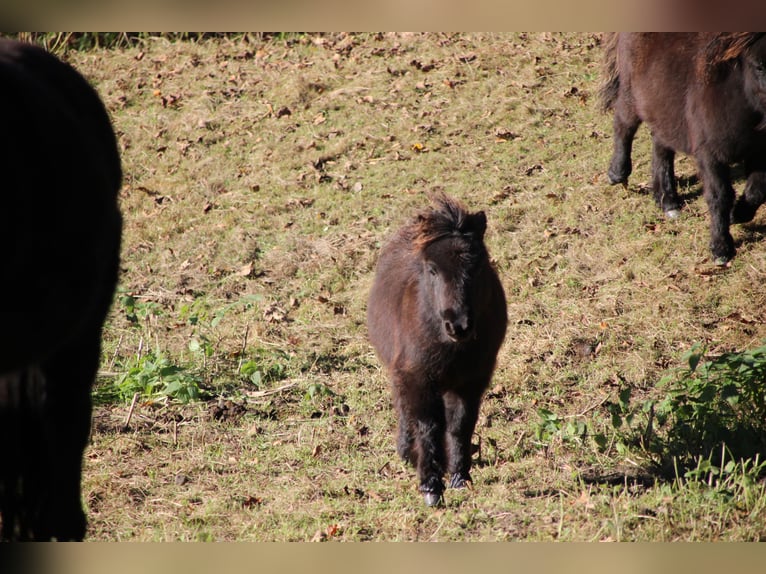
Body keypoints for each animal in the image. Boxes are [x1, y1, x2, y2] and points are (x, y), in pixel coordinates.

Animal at [368, 195, 508, 508]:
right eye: (432, 269)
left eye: (477, 265)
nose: (458, 325)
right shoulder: (417, 377)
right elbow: (427, 426)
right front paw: (431, 487)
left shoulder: (471, 381)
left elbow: (460, 425)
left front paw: (459, 477)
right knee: (405, 411)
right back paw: (407, 452)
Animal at [604, 34, 766, 268]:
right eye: (758, 66)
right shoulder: (710, 155)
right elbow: (719, 196)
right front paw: (721, 249)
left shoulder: (760, 152)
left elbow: (757, 190)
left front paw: (738, 214)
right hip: (631, 92)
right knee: (623, 124)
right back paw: (617, 173)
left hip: (663, 110)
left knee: (661, 146)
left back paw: (667, 200)